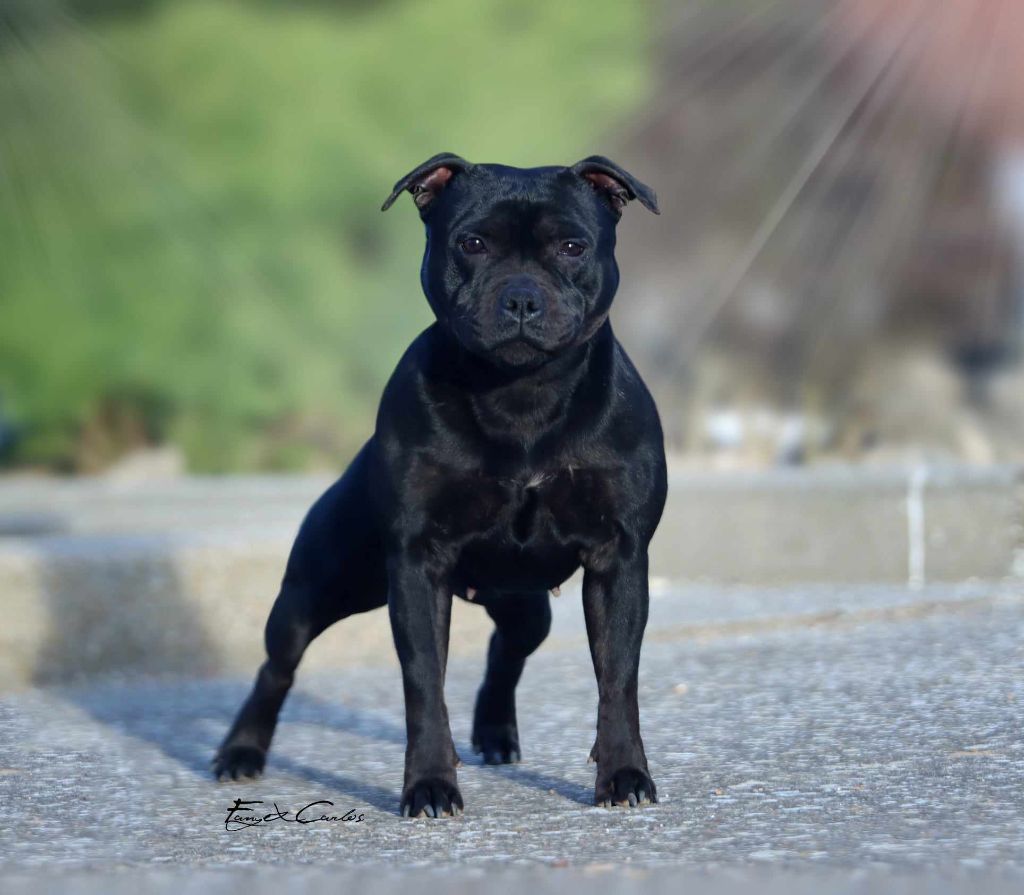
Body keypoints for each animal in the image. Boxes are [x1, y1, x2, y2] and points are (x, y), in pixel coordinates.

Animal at [211, 151, 667, 815]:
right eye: (471, 243)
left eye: (573, 246)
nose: (521, 298)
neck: (521, 395)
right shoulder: (417, 564)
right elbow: (425, 681)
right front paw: (429, 783)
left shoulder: (618, 558)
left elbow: (617, 678)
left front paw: (624, 774)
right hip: (312, 592)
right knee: (278, 667)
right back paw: (241, 750)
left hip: (522, 605)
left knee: (508, 650)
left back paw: (496, 733)